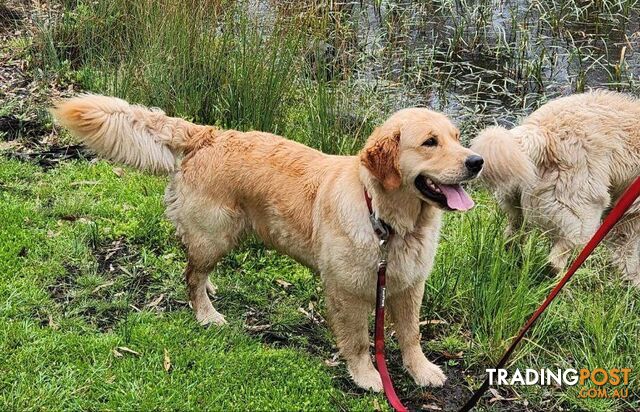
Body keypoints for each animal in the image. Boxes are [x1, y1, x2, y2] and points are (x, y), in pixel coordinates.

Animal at [51, 94, 480, 392]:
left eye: (458, 138)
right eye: (430, 142)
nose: (477, 161)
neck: (388, 221)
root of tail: (208, 134)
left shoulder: (409, 285)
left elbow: (411, 335)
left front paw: (421, 370)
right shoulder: (348, 290)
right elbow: (359, 341)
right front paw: (367, 375)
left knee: (196, 271)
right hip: (215, 234)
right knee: (190, 277)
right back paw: (206, 314)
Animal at [470, 90, 640, 284]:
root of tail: (541, 133)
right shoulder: (630, 216)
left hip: (515, 203)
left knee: (512, 237)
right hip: (583, 213)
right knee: (555, 259)